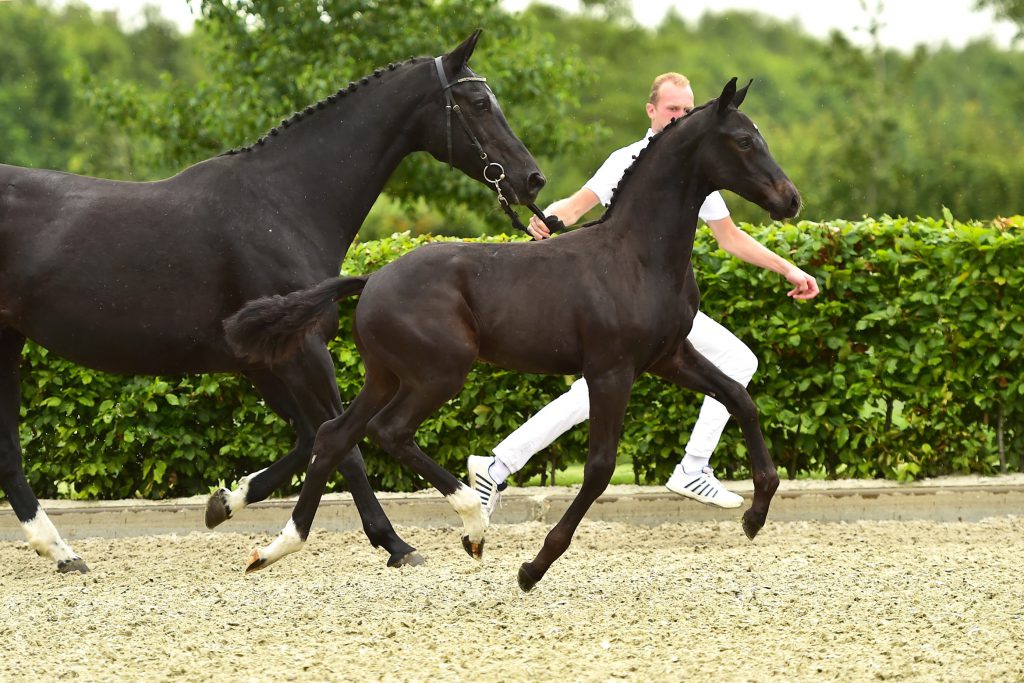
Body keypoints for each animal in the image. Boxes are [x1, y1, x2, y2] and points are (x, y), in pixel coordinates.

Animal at [0, 29, 548, 573]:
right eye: (479, 103)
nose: (531, 179)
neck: (282, 204)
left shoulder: (262, 361)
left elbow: (311, 438)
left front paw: (227, 500)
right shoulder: (303, 351)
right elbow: (340, 443)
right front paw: (397, 543)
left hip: (10, 341)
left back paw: (61, 551)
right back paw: (60, 550)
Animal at [224, 73, 798, 589]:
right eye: (744, 140)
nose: (790, 200)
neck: (637, 256)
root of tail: (372, 279)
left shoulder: (668, 357)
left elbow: (740, 399)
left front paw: (756, 514)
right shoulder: (611, 371)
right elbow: (600, 467)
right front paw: (533, 568)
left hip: (386, 376)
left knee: (335, 435)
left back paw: (275, 548)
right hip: (440, 373)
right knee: (389, 432)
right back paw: (472, 524)